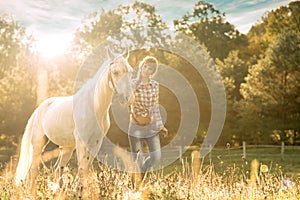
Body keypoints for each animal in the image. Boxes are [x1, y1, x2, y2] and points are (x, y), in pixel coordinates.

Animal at [14, 47, 132, 197]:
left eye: (129, 71)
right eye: (116, 72)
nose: (127, 97)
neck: (94, 106)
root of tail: (39, 108)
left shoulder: (96, 143)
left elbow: (86, 167)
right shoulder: (81, 141)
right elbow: (82, 167)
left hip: (67, 149)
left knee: (58, 169)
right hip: (39, 143)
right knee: (33, 170)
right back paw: (33, 194)